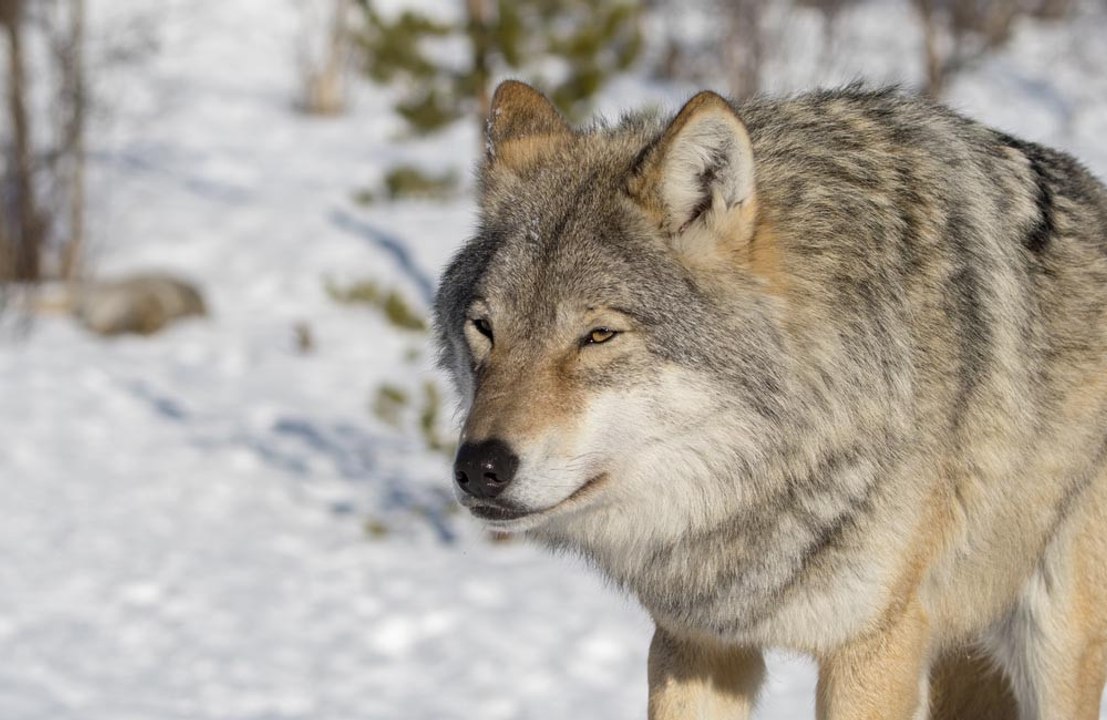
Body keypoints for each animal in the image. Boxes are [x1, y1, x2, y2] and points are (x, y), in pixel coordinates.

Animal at [433, 80, 1107, 719]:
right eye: (485, 328)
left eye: (598, 335)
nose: (479, 468)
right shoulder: (694, 642)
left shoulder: (873, 648)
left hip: (1053, 639)